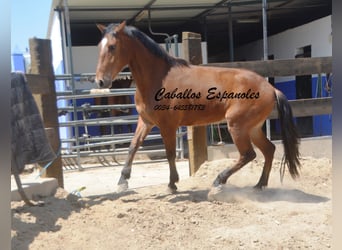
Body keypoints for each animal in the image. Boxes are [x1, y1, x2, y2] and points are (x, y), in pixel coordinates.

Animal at [93, 22, 300, 193]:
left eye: (112, 47)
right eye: (99, 47)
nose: (101, 81)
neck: (158, 79)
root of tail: (271, 88)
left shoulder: (168, 126)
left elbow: (169, 153)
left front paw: (172, 184)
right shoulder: (146, 121)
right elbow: (133, 146)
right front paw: (122, 181)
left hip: (237, 126)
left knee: (248, 154)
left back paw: (219, 181)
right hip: (253, 128)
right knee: (269, 150)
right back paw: (259, 185)